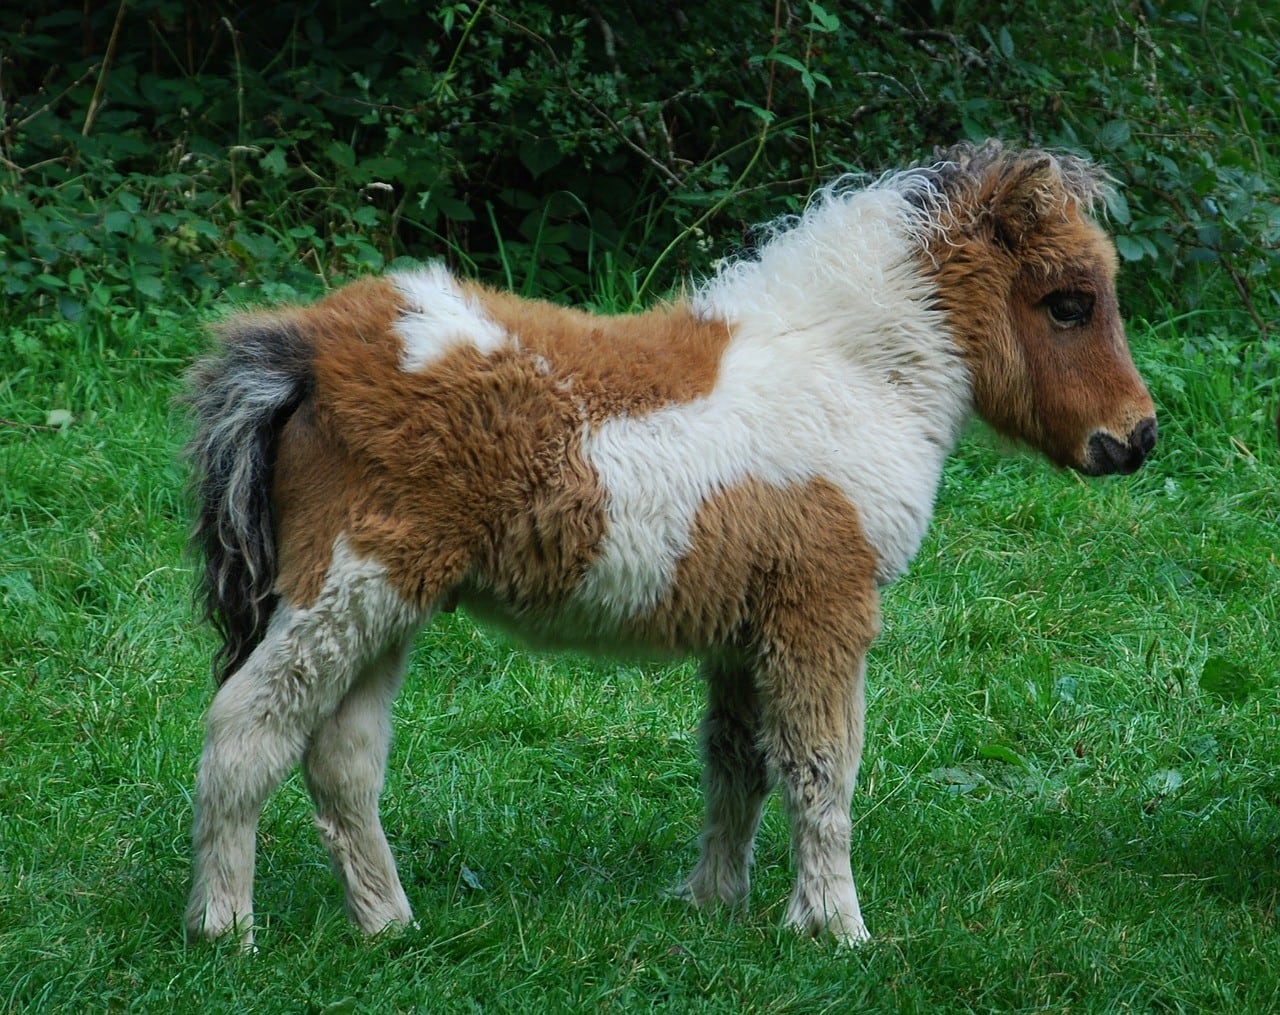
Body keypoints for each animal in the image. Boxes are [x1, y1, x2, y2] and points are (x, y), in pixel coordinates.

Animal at [182, 140, 1157, 948]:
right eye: (1070, 304)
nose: (1135, 437)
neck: (851, 372)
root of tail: (309, 352)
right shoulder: (823, 608)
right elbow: (823, 769)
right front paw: (836, 928)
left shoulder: (744, 627)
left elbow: (739, 763)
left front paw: (715, 903)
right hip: (350, 585)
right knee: (245, 731)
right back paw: (225, 927)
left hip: (388, 605)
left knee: (341, 759)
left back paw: (388, 925)